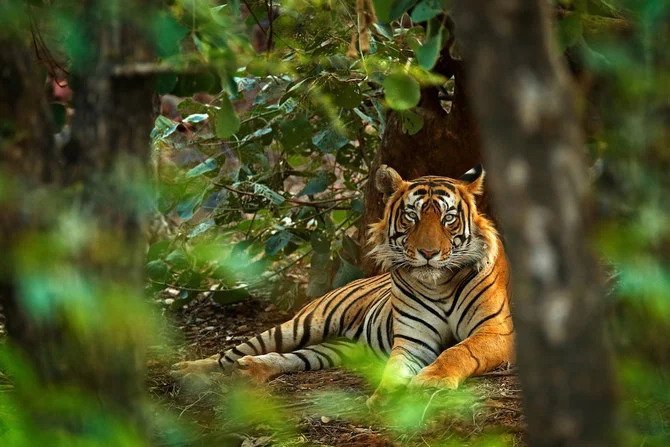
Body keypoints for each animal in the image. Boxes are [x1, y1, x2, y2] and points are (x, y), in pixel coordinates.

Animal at [171, 165, 514, 404]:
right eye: (411, 217)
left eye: (448, 219)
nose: (428, 253)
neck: (439, 284)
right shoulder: (412, 340)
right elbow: (394, 369)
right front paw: (386, 398)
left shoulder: (496, 331)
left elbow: (458, 351)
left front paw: (431, 382)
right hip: (303, 324)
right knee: (231, 352)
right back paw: (187, 370)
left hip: (336, 349)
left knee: (292, 358)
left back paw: (250, 369)